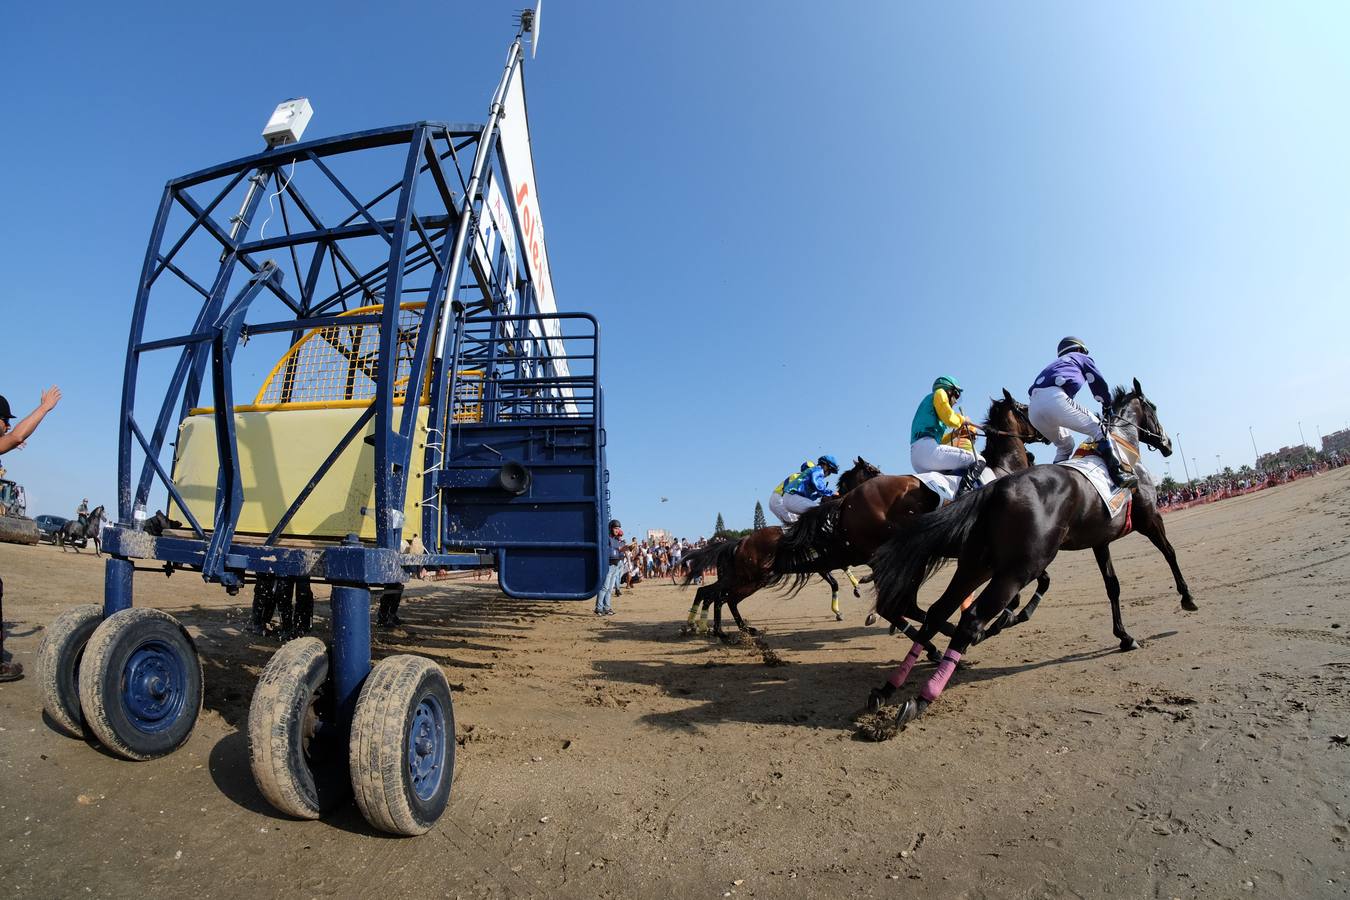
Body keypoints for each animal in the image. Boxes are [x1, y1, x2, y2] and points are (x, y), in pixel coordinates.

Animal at [680, 458, 880, 639]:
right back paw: (716, 630)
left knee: (713, 594)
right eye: (872, 469)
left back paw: (707, 627)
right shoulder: (834, 558)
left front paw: (852, 595)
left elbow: (839, 579)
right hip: (750, 578)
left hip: (742, 577)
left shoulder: (829, 562)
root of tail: (739, 543)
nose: (883, 478)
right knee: (721, 597)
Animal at [864, 377, 1193, 723]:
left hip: (976, 564)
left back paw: (890, 687)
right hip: (1018, 567)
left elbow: (1112, 585)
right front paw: (1187, 598)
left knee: (936, 611)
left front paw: (1124, 635)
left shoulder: (1099, 540)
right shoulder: (1150, 519)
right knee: (968, 618)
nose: (1167, 443)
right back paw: (923, 697)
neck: (1122, 450)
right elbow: (1170, 553)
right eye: (1153, 407)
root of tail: (995, 487)